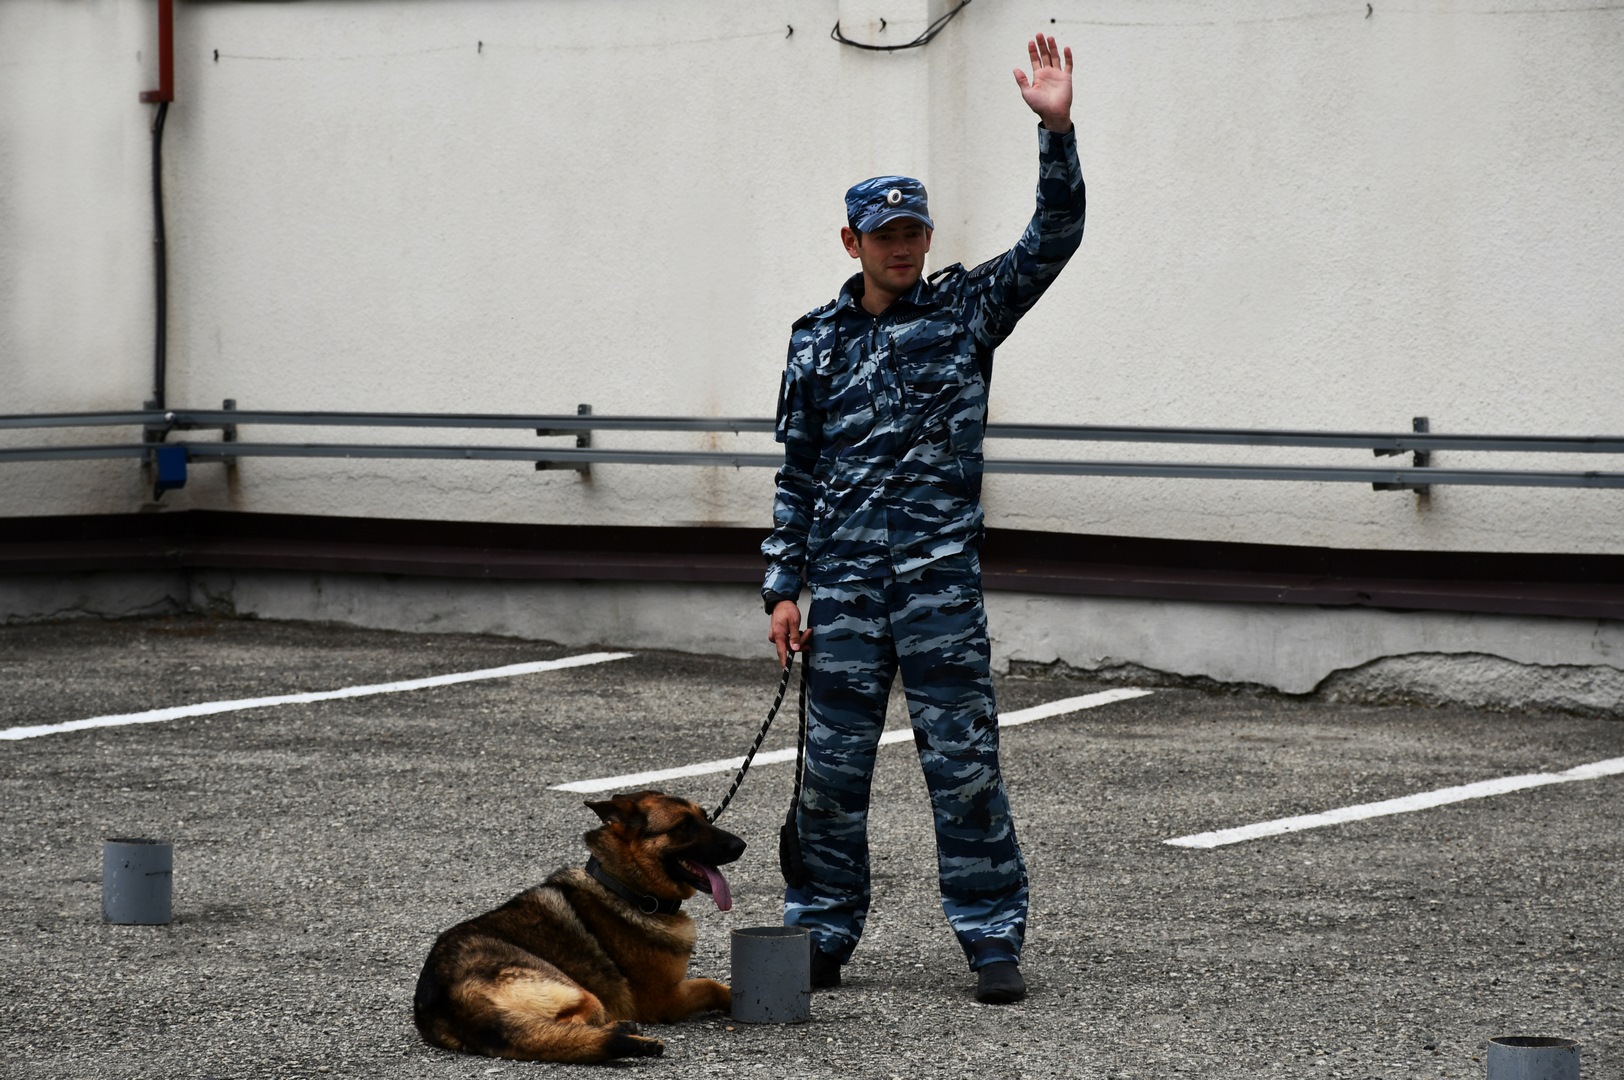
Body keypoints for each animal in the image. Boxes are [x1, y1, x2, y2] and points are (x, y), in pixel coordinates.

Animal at [418, 789, 747, 1058]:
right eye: (684, 826)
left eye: (705, 817)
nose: (741, 845)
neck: (624, 888)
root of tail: (451, 996)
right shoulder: (665, 999)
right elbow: (712, 985)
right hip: (580, 993)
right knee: (568, 1027)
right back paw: (621, 1034)